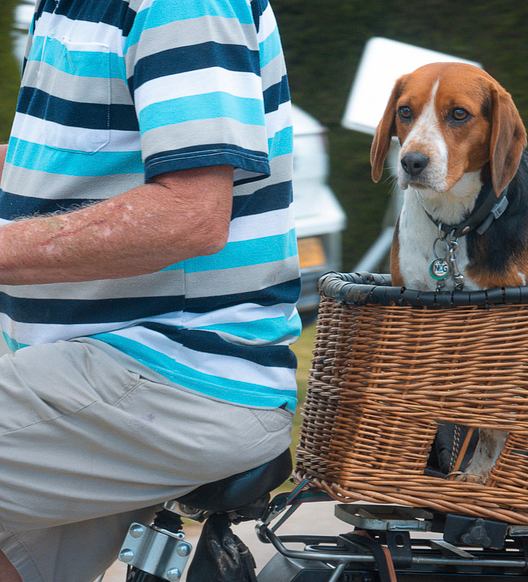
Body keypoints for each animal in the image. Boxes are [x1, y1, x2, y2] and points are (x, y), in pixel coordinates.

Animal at [372, 61, 528, 486]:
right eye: (405, 111)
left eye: (459, 114)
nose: (412, 162)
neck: (454, 226)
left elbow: (495, 423)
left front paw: (482, 477)